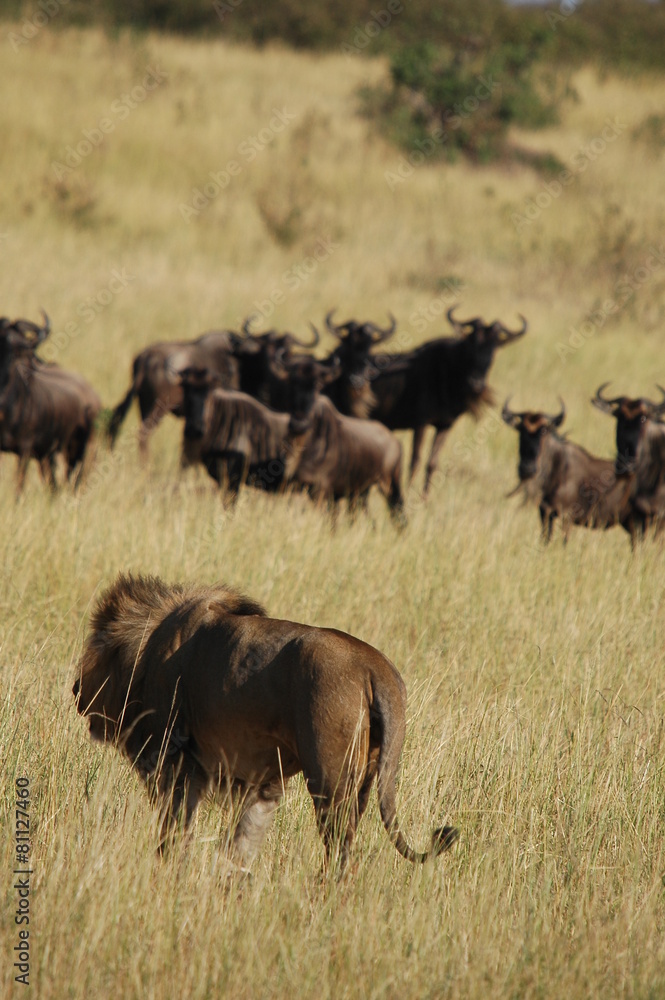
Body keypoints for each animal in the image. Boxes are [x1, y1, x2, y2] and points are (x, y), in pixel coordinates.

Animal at [72, 576, 456, 872]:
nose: (76, 690)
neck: (147, 650)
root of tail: (374, 666)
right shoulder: (261, 785)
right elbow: (240, 846)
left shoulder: (174, 763)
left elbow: (174, 839)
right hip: (368, 776)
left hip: (329, 779)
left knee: (339, 850)